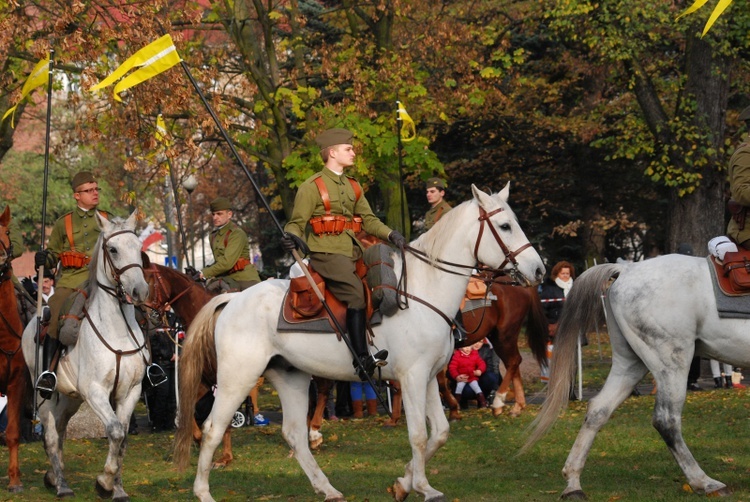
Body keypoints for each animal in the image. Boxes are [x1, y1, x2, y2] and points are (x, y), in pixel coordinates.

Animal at [22, 210, 150, 500]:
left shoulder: (130, 392)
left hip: (71, 399)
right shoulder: (95, 391)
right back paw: (62, 485)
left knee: (60, 430)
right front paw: (104, 482)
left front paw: (117, 488)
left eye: (138, 247)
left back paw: (54, 476)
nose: (141, 291)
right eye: (113, 250)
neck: (117, 331)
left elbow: (123, 438)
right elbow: (115, 431)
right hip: (46, 396)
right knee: (51, 436)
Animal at [173, 185, 544, 502]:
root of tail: (233, 300)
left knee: (294, 434)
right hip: (237, 379)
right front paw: (421, 486)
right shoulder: (412, 377)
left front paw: (406, 482)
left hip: (291, 377)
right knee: (212, 428)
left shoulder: (428, 377)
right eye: (505, 226)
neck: (424, 289)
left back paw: (328, 489)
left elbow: (439, 432)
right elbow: (419, 434)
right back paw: (203, 492)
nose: (539, 270)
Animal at [524, 255, 748, 498]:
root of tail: (627, 268)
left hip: (630, 364)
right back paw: (704, 482)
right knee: (666, 420)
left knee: (598, 410)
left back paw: (573, 483)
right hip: (672, 362)